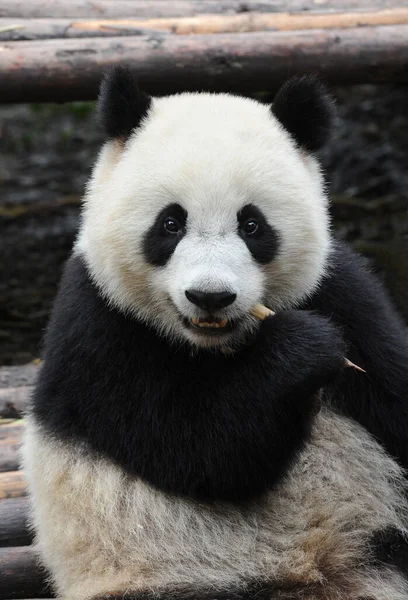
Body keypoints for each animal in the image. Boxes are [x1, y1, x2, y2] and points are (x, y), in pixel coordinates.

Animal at [23, 67, 408, 600]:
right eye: (170, 223)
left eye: (252, 225)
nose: (210, 296)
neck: (217, 346)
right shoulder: (97, 324)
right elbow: (198, 449)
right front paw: (303, 350)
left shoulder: (343, 293)